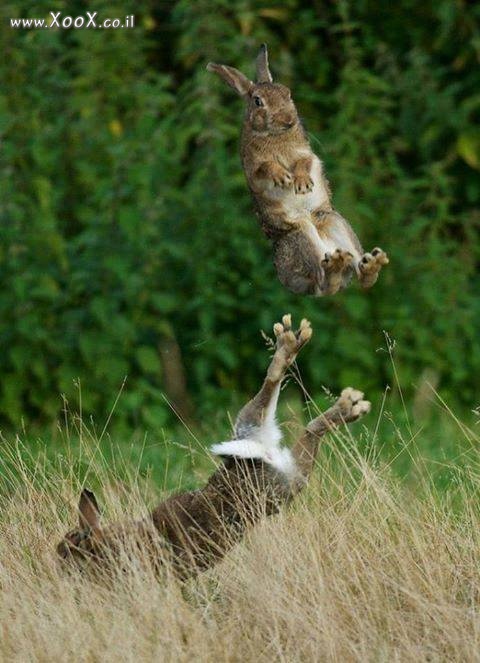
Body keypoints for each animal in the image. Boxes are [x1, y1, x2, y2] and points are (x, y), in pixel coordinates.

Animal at [57, 314, 372, 580]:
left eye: (67, 550)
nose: (56, 563)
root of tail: (262, 452)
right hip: (269, 450)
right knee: (291, 414)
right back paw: (342, 400)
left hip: (280, 479)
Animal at [208, 46, 388, 296]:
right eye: (257, 101)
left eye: (288, 93)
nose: (289, 120)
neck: (276, 135)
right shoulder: (253, 169)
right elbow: (266, 167)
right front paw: (283, 177)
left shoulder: (306, 154)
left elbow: (304, 163)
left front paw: (302, 184)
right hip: (301, 234)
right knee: (323, 283)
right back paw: (337, 267)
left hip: (333, 221)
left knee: (358, 277)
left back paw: (370, 263)